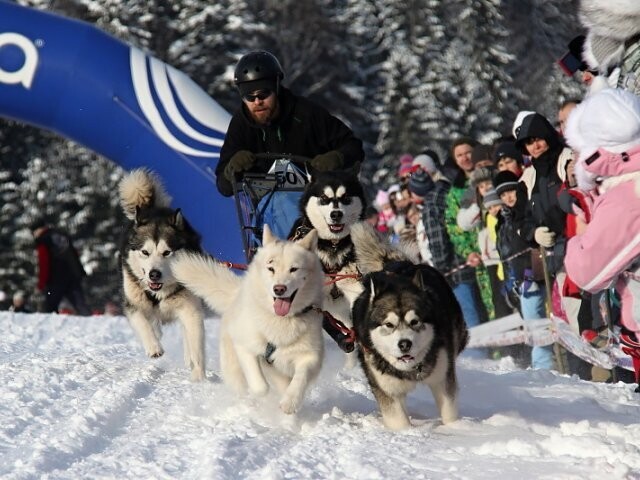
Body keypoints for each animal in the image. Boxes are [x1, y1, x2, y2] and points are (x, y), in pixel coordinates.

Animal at [119, 167, 205, 380]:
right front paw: (153, 347)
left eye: (167, 252)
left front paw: (199, 377)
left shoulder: (191, 309)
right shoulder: (132, 302)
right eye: (145, 252)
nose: (154, 274)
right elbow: (142, 322)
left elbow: (196, 343)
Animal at [171, 225, 324, 412]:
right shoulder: (245, 346)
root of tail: (236, 295)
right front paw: (262, 397)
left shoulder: (311, 356)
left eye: (294, 269)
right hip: (234, 369)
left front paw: (290, 402)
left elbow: (299, 379)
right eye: (271, 268)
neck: (280, 320)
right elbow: (260, 387)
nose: (279, 289)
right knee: (242, 387)